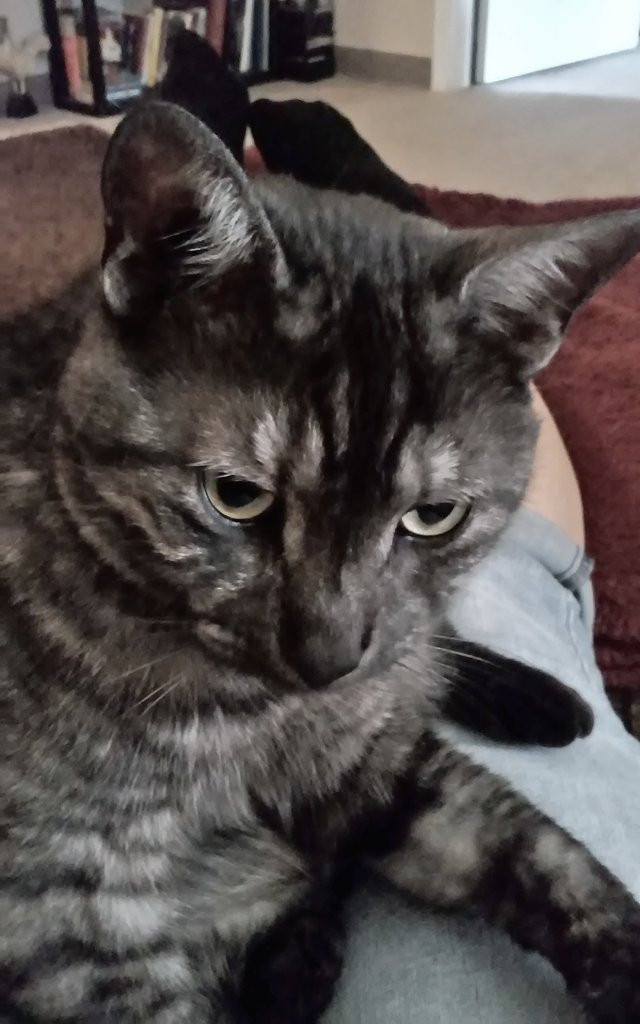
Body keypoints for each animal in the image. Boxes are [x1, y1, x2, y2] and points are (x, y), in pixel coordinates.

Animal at [1, 97, 638, 1024]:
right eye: (236, 496)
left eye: (433, 516)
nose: (330, 655)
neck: (268, 728)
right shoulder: (69, 926)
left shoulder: (391, 766)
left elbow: (548, 861)